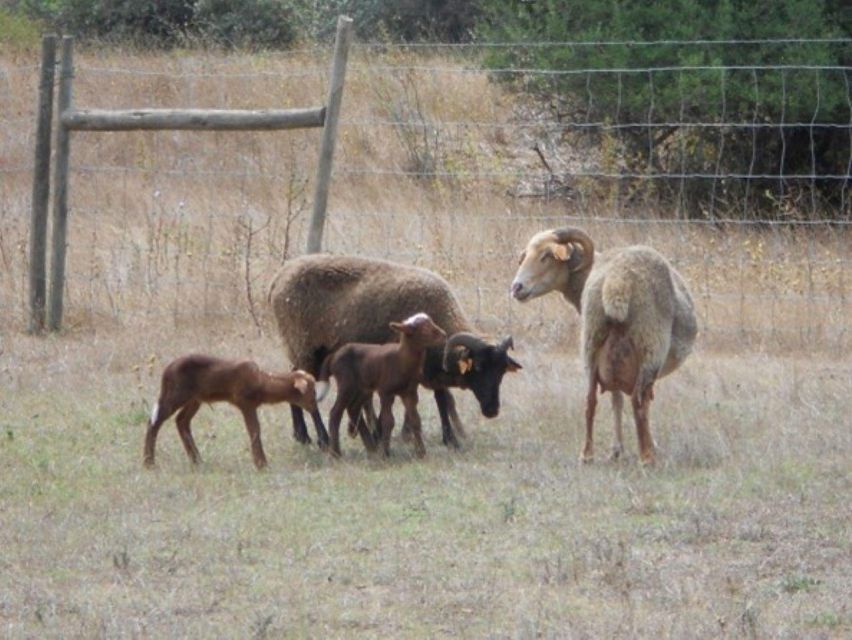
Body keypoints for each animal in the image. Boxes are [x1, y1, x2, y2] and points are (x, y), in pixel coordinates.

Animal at [145, 352, 328, 468]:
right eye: (312, 391)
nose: (315, 407)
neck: (262, 381)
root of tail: (166, 371)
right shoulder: (246, 403)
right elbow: (254, 430)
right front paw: (261, 464)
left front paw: (261, 462)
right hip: (175, 395)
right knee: (154, 422)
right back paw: (149, 462)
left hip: (195, 399)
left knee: (181, 421)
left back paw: (197, 460)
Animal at [316, 312, 450, 458]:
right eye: (424, 329)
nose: (444, 335)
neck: (401, 360)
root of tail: (333, 355)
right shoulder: (386, 392)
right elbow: (388, 421)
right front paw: (386, 453)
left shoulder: (409, 392)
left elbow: (415, 420)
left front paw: (421, 452)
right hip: (346, 385)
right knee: (335, 413)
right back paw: (336, 453)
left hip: (361, 388)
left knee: (353, 409)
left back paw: (371, 449)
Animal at [510, 228, 696, 462]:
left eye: (546, 256)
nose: (516, 288)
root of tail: (618, 282)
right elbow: (641, 403)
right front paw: (649, 446)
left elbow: (616, 400)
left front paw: (617, 449)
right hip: (650, 344)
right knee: (637, 402)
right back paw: (646, 457)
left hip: (591, 342)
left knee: (590, 400)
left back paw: (587, 455)